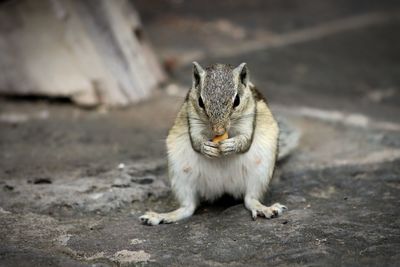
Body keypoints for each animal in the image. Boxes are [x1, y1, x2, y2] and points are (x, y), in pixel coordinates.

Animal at [141, 62, 288, 226]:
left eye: (237, 101)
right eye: (200, 101)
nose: (219, 130)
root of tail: (222, 188)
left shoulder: (250, 116)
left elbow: (245, 140)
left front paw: (231, 145)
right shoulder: (192, 117)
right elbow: (195, 140)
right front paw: (206, 147)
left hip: (260, 172)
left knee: (250, 199)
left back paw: (265, 208)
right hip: (180, 174)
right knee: (188, 207)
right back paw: (161, 216)